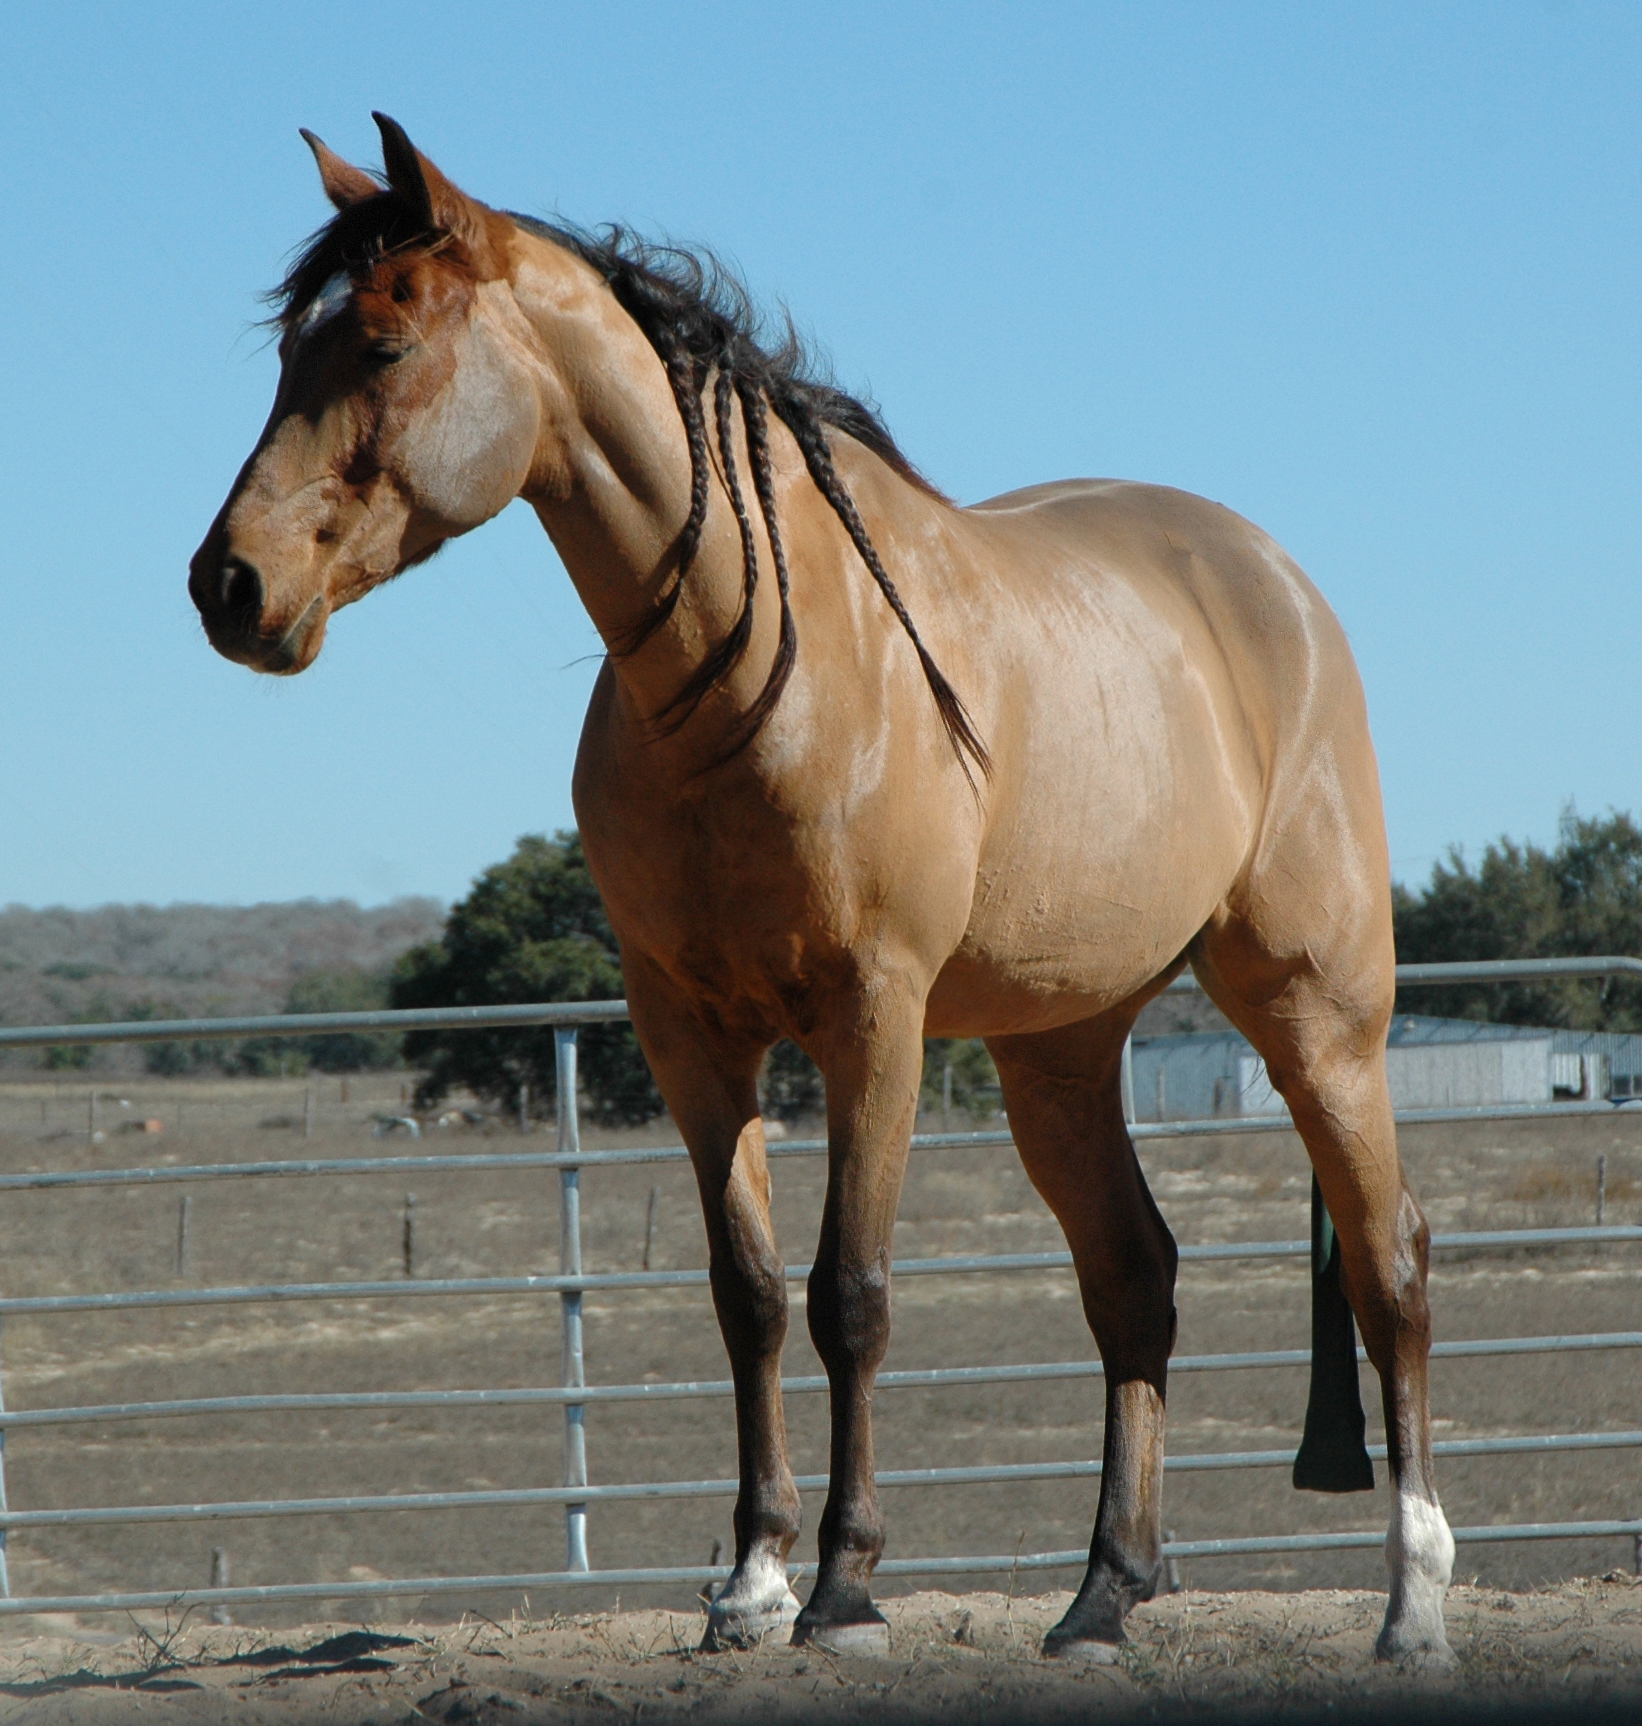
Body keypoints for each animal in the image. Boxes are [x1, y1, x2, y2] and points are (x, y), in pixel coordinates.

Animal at [189, 115, 1454, 1662]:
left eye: (376, 342)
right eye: (287, 352)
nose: (229, 586)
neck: (754, 676)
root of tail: (1271, 582)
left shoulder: (873, 1018)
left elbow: (850, 1291)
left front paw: (844, 1588)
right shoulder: (688, 1034)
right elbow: (744, 1295)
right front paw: (749, 1579)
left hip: (1316, 1017)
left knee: (1390, 1267)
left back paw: (1411, 1599)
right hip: (1059, 1049)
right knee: (1133, 1279)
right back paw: (1103, 1594)